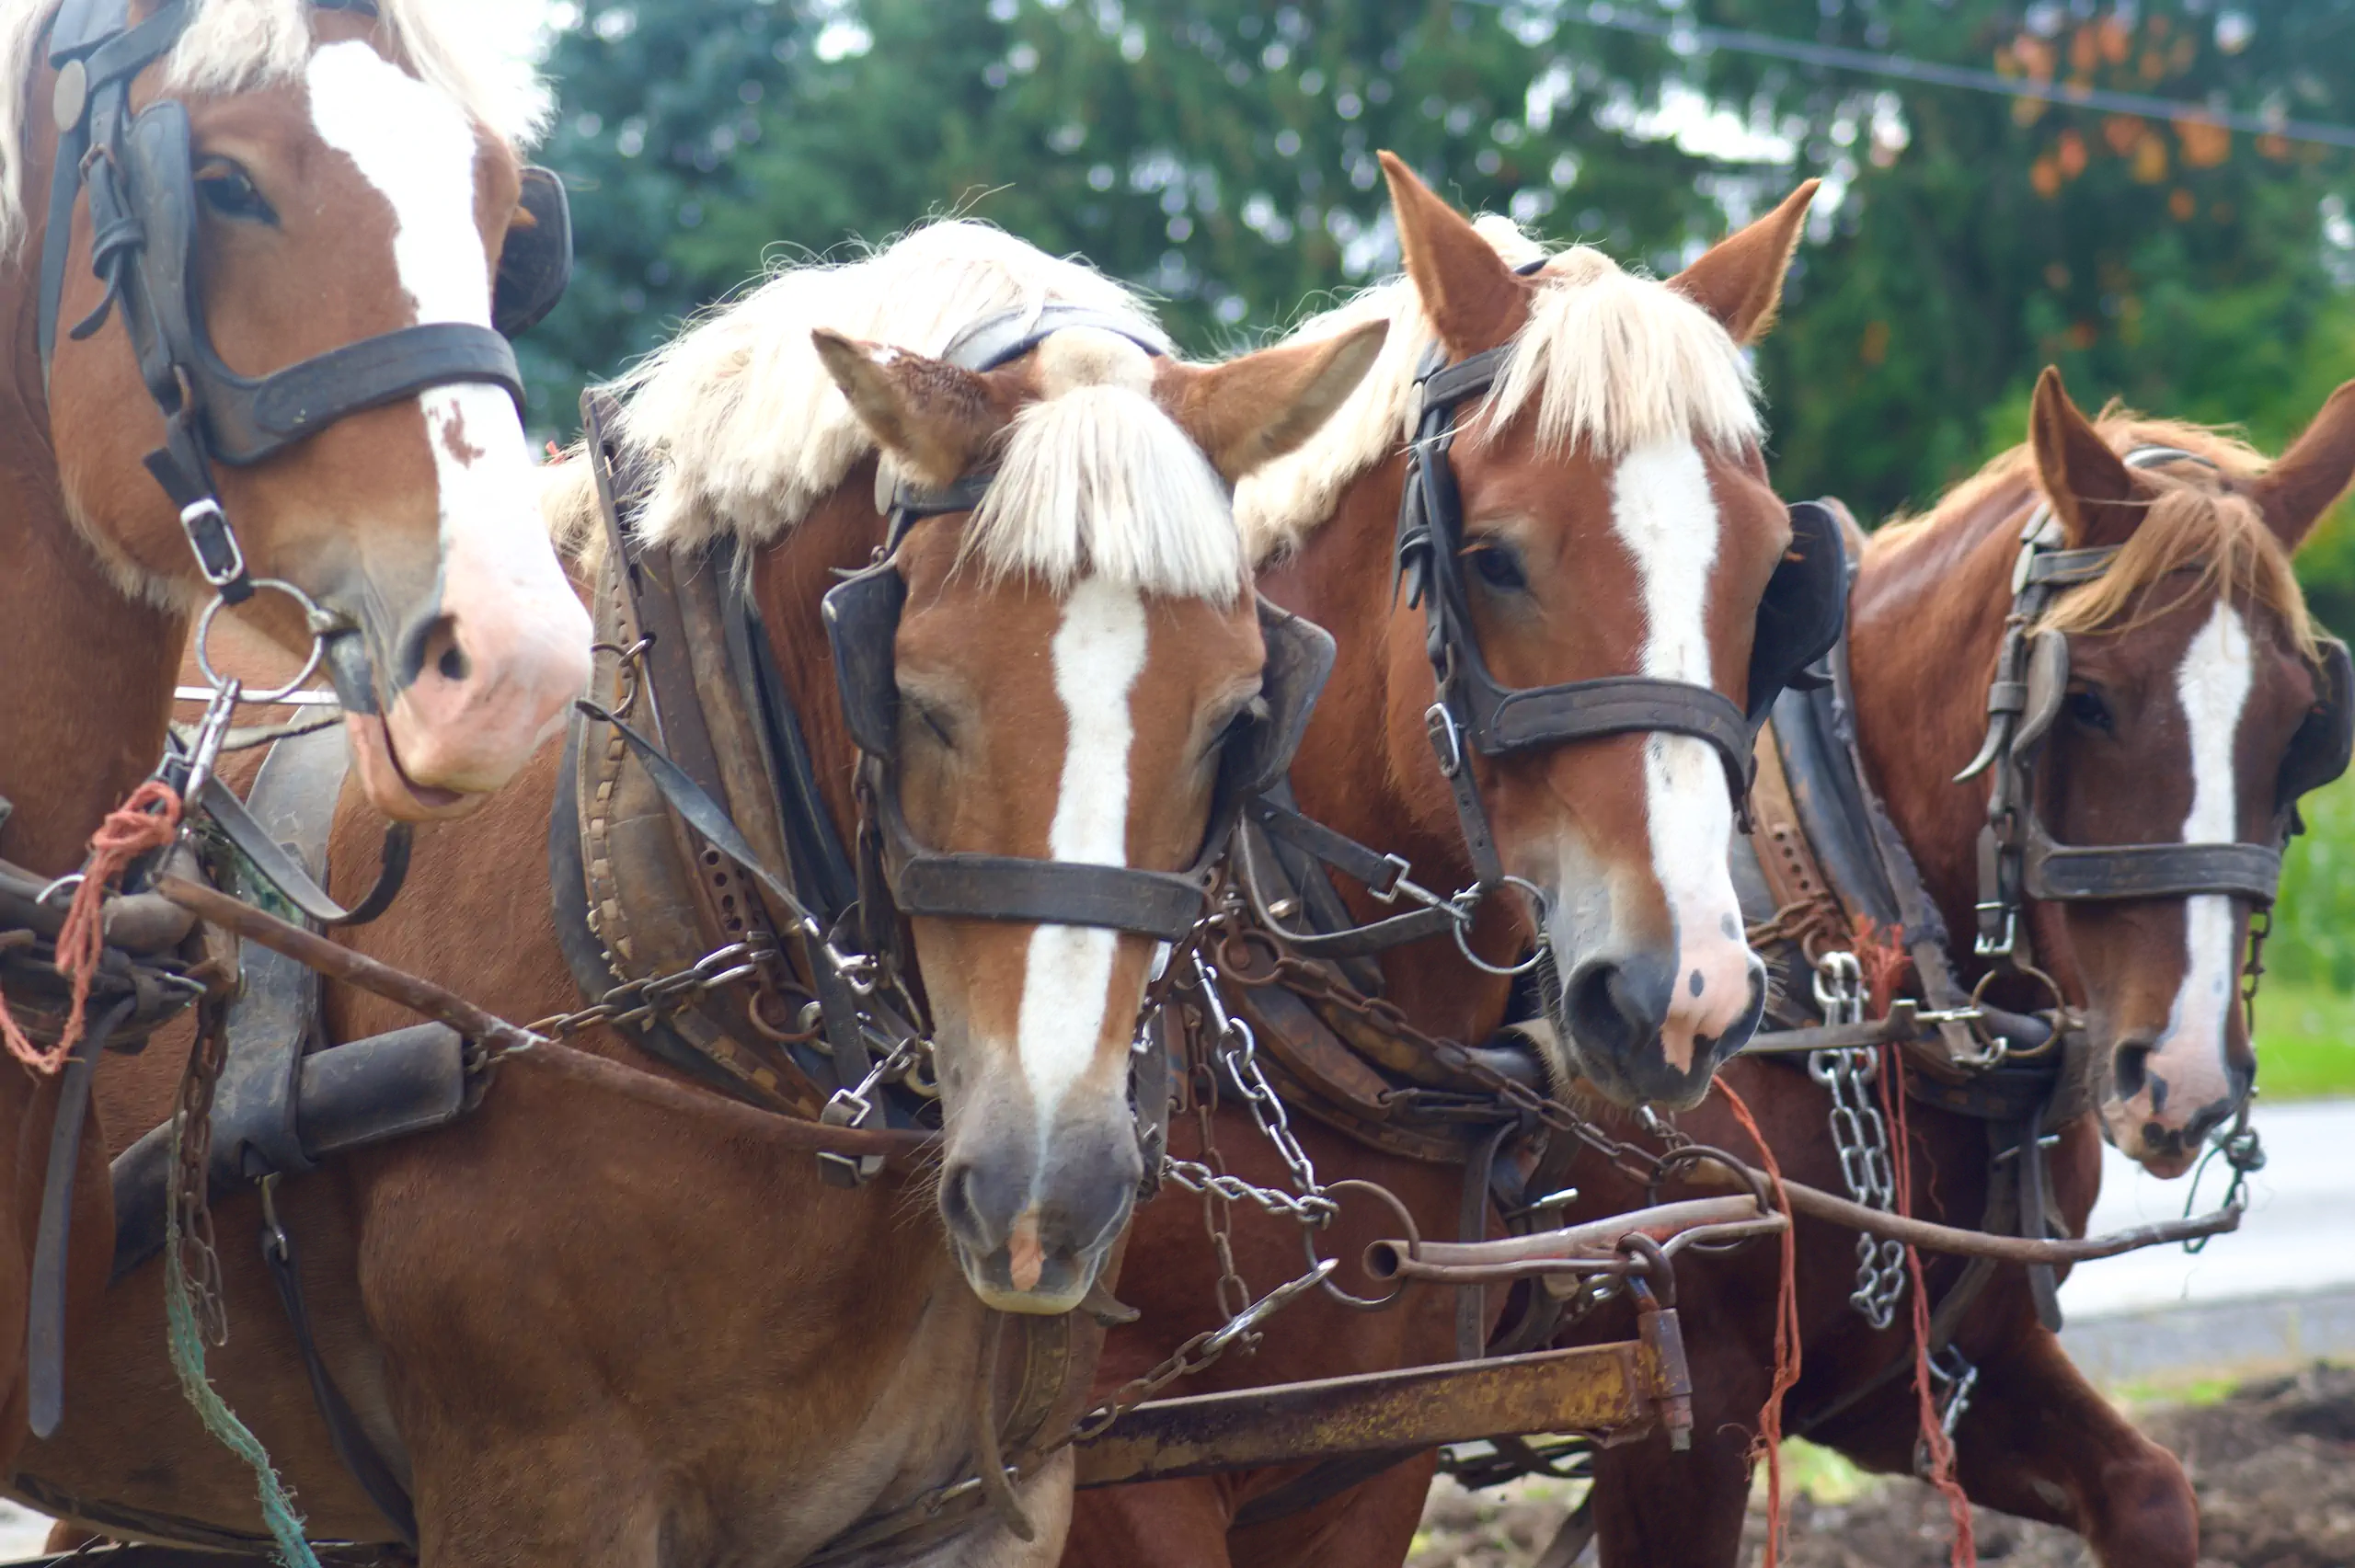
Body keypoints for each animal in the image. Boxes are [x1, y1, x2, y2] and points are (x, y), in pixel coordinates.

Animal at [1544, 366, 2355, 1567]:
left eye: (2305, 723)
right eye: (2086, 698)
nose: (2183, 1077)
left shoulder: (1913, 1372)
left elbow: (2153, 1491)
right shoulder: (1676, 1410)